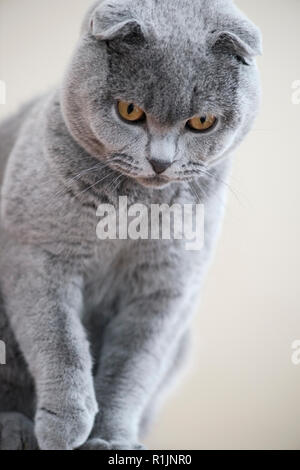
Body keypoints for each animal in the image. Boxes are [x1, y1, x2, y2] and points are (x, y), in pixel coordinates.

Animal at [0, 0, 262, 452]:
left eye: (202, 122)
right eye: (130, 112)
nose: (160, 161)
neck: (132, 212)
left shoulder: (165, 288)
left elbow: (131, 369)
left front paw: (110, 438)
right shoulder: (36, 253)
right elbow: (59, 339)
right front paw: (66, 424)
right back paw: (15, 429)